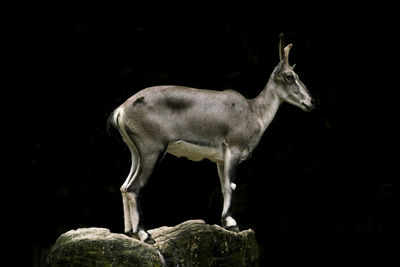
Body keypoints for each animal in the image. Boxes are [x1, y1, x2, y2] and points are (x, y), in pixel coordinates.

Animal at [109, 33, 316, 243]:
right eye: (290, 76)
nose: (311, 102)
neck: (254, 113)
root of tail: (122, 110)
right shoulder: (234, 147)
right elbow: (232, 185)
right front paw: (232, 224)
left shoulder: (220, 158)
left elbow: (224, 186)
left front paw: (227, 222)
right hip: (152, 149)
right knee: (134, 187)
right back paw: (145, 235)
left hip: (136, 152)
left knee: (124, 186)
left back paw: (130, 232)